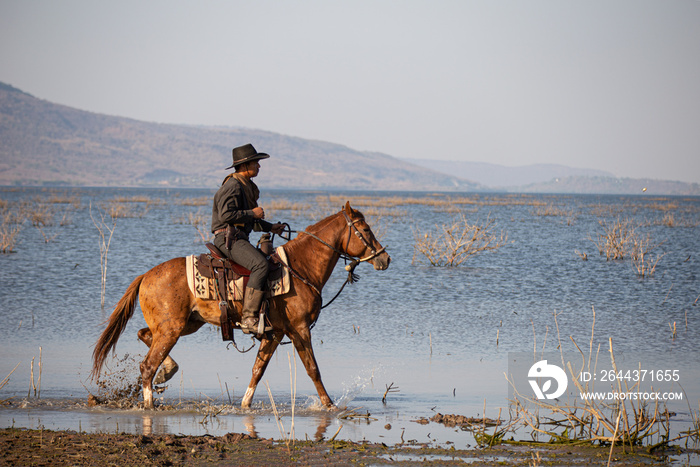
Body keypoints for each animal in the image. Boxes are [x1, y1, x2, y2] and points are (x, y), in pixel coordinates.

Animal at [90, 201, 392, 410]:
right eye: (366, 229)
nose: (385, 258)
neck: (299, 268)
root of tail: (145, 276)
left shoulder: (275, 333)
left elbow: (258, 369)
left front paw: (245, 405)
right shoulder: (299, 329)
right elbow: (312, 368)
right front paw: (329, 405)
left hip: (185, 324)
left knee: (144, 336)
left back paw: (167, 371)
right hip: (171, 329)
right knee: (147, 366)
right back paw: (150, 403)